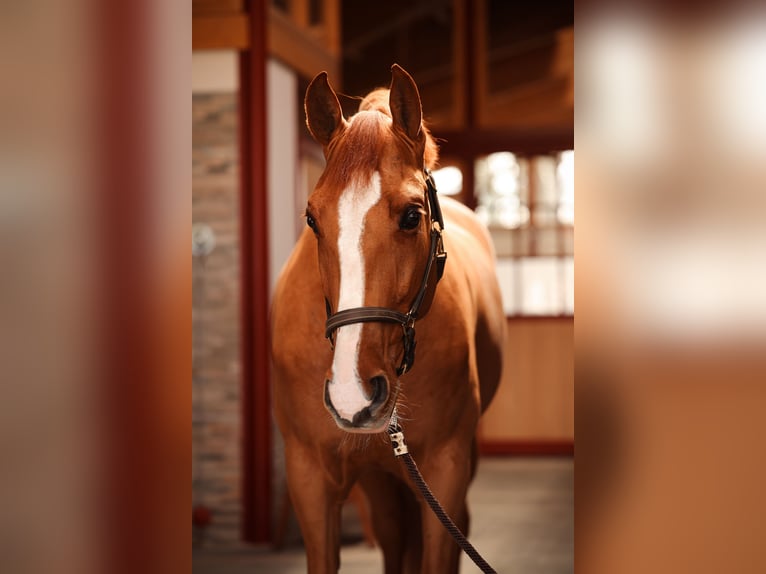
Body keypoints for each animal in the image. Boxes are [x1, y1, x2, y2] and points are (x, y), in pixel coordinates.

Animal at [272, 65, 508, 572]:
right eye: (312, 219)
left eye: (411, 216)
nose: (352, 394)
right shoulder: (309, 478)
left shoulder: (445, 471)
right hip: (379, 479)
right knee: (395, 534)